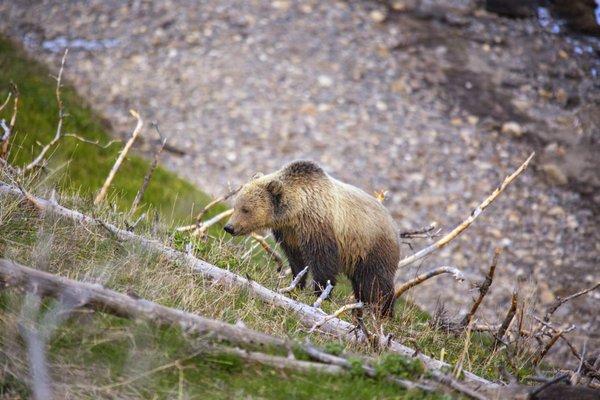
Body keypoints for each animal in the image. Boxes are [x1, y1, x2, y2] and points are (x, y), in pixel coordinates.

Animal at [223, 159, 400, 316]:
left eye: (246, 209)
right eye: (236, 205)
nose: (229, 227)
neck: (296, 211)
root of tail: (394, 225)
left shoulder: (318, 228)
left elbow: (323, 264)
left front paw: (320, 295)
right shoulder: (289, 233)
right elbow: (297, 262)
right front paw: (296, 286)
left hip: (371, 247)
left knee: (376, 282)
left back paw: (382, 312)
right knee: (362, 284)